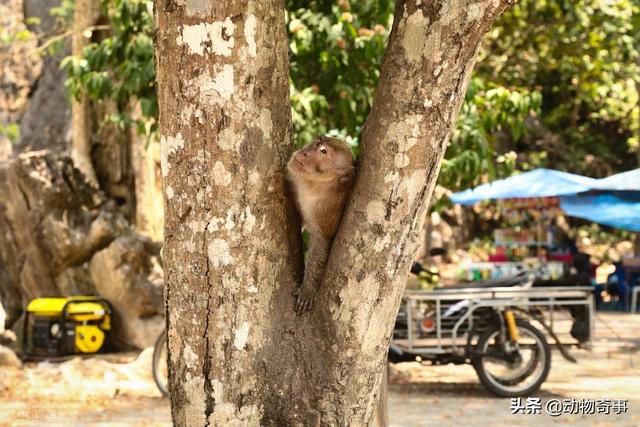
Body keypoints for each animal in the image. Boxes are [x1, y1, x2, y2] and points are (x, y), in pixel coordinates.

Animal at [286, 135, 356, 316]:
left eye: (323, 152)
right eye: (317, 143)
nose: (304, 153)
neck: (316, 186)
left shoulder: (325, 210)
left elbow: (322, 241)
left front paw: (307, 290)